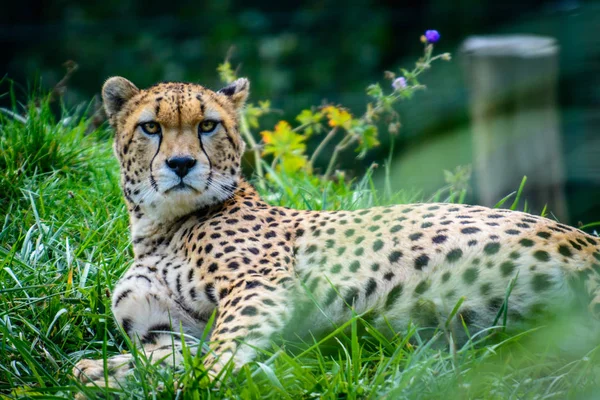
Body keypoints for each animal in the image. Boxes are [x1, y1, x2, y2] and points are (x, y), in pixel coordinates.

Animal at [74, 76, 600, 390]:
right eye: (150, 128)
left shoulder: (260, 289)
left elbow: (216, 357)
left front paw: (192, 386)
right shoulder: (174, 330)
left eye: (207, 125)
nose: (181, 164)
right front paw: (97, 372)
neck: (160, 226)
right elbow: (147, 360)